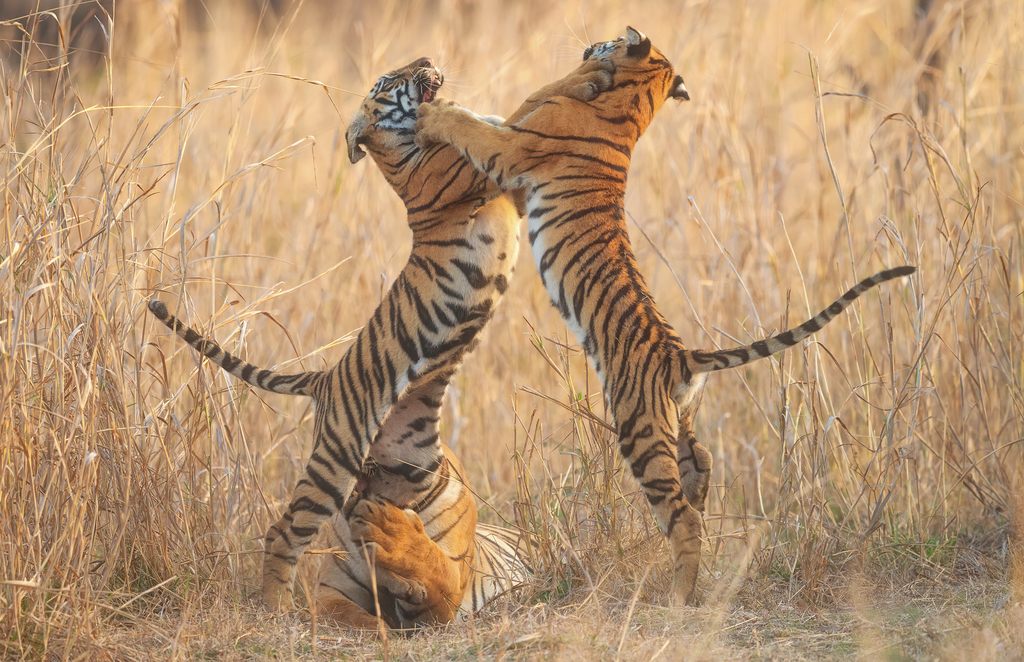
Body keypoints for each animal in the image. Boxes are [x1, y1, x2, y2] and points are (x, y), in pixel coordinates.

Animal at [148, 56, 601, 621]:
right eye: (388, 80)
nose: (427, 60)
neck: (399, 154)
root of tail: (323, 378)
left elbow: (508, 120)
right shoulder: (473, 175)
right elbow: (509, 124)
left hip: (411, 460)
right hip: (337, 451)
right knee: (285, 531)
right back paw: (275, 608)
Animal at [414, 26, 916, 605]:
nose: (591, 42)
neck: (633, 103)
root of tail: (685, 357)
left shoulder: (513, 150)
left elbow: (472, 124)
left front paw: (434, 113)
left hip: (639, 426)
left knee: (681, 516)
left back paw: (679, 597)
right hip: (677, 424)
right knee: (701, 470)